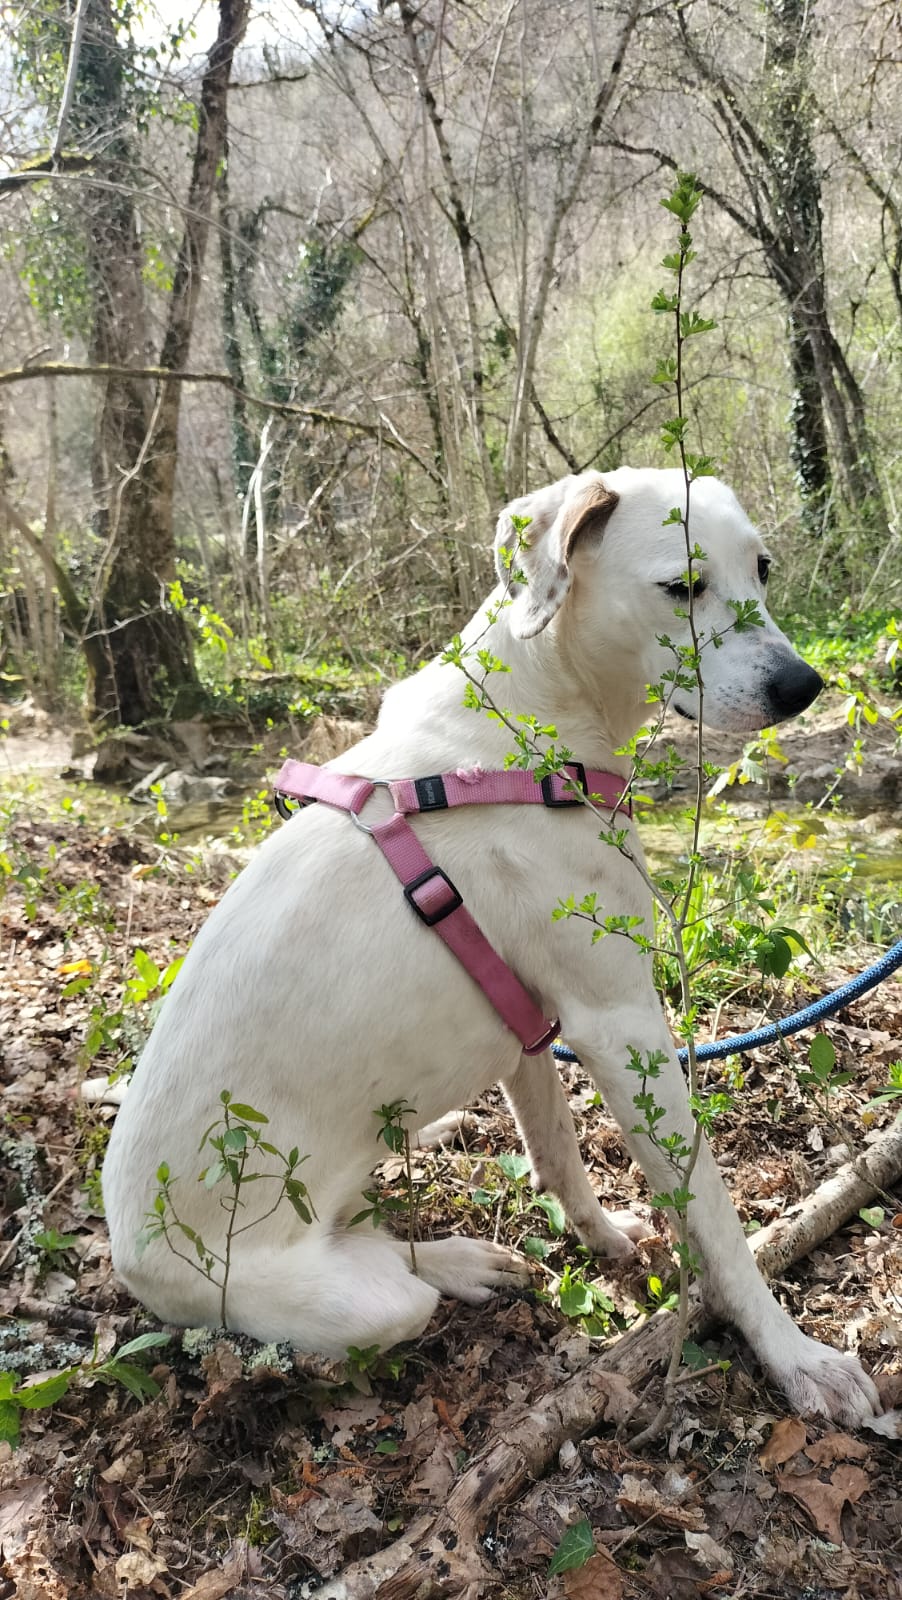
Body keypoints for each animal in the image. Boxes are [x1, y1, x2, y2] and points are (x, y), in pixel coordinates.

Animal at [103, 466, 887, 1428]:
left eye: (764, 570)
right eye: (682, 586)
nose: (804, 686)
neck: (521, 733)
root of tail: (129, 1258)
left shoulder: (533, 1034)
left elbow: (559, 1156)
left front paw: (604, 1239)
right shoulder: (620, 1025)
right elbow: (713, 1217)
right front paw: (792, 1354)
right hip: (353, 1299)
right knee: (389, 1264)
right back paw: (457, 1262)